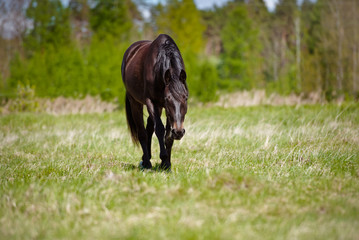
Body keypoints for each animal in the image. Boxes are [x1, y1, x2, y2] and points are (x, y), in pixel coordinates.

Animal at [121, 34, 188, 171]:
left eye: (185, 98)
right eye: (167, 99)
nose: (179, 132)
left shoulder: (165, 109)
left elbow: (168, 135)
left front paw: (166, 164)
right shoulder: (152, 102)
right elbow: (160, 130)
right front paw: (163, 158)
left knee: (149, 128)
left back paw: (146, 158)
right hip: (136, 102)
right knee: (142, 132)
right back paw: (146, 163)